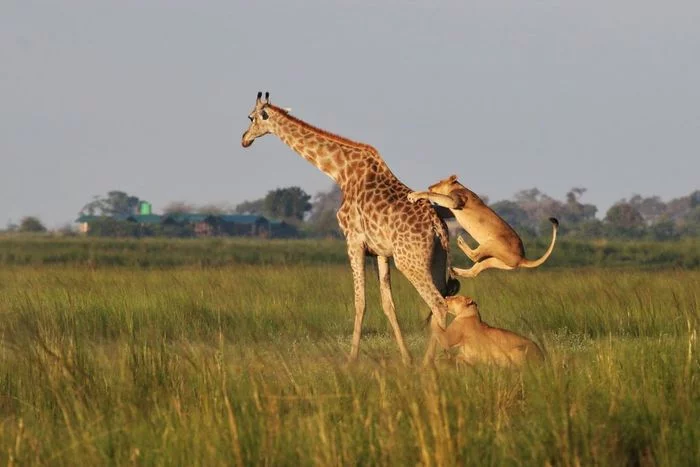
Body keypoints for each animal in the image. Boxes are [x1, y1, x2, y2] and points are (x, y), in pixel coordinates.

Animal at [241, 93, 460, 368]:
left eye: (250, 117)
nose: (244, 139)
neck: (340, 172)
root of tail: (437, 225)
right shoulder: (380, 252)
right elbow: (388, 304)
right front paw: (405, 357)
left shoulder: (353, 241)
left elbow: (360, 302)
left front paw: (351, 360)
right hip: (436, 259)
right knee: (444, 301)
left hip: (410, 260)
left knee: (438, 304)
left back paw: (427, 362)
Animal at [404, 176, 556, 278]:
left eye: (439, 181)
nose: (430, 185)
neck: (459, 187)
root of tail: (522, 257)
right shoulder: (450, 209)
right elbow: (438, 207)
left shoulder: (455, 202)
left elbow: (435, 195)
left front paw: (415, 195)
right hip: (494, 261)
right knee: (474, 271)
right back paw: (454, 270)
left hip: (492, 243)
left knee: (475, 256)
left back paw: (460, 242)